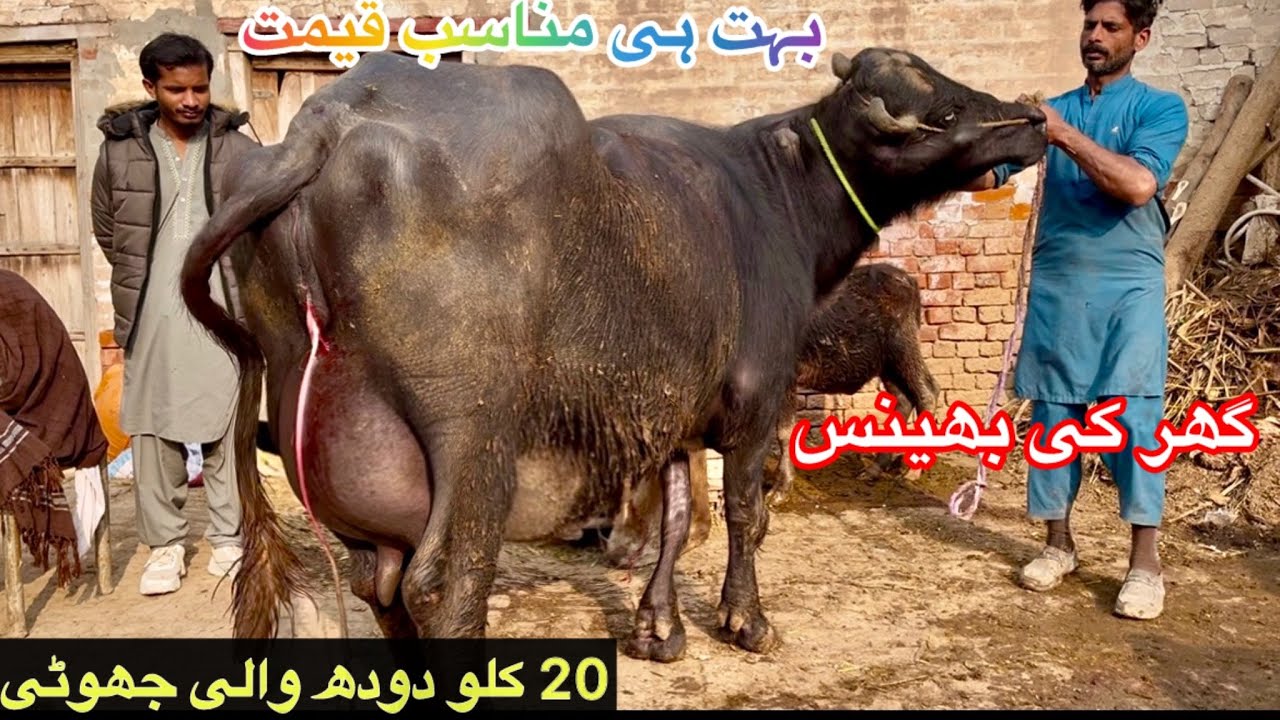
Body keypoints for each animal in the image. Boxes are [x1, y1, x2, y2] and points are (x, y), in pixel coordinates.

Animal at [181, 47, 1045, 663]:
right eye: (942, 105)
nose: (1032, 118)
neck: (778, 198)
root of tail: (323, 127)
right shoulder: (756, 396)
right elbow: (741, 508)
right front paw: (746, 620)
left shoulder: (669, 413)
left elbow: (677, 516)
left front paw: (659, 628)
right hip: (474, 434)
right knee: (445, 581)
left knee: (379, 581)